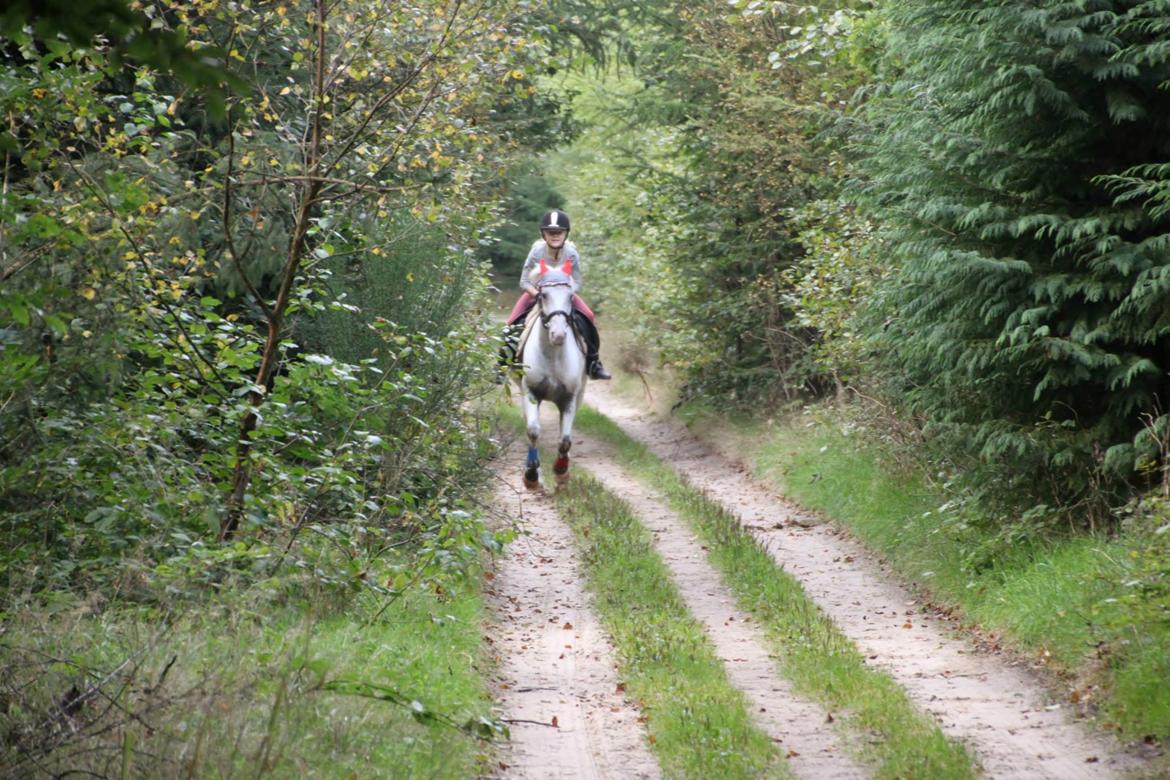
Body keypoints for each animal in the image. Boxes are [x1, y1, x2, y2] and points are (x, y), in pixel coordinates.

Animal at [514, 266, 585, 488]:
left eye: (571, 296)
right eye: (543, 295)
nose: (559, 335)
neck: (553, 356)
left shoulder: (569, 398)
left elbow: (565, 440)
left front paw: (561, 470)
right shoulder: (530, 392)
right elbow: (533, 430)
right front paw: (531, 473)